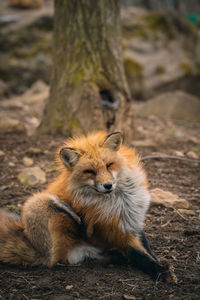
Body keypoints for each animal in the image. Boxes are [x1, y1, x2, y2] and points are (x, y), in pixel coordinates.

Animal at [0, 132, 175, 282]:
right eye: (90, 171)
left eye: (109, 165)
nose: (108, 185)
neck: (120, 200)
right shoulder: (116, 230)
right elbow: (140, 255)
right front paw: (160, 271)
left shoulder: (132, 220)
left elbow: (146, 249)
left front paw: (160, 263)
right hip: (37, 203)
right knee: (55, 258)